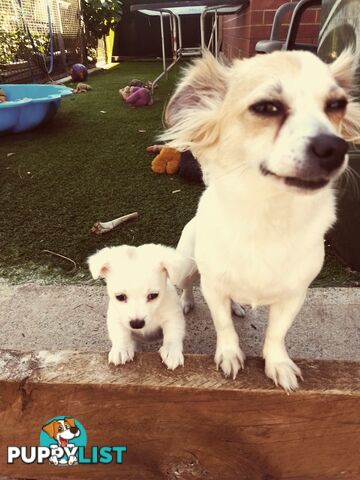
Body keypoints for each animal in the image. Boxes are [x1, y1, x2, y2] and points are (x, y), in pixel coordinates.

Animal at [88, 244, 194, 372]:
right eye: (120, 297)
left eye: (153, 295)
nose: (136, 324)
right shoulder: (116, 317)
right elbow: (119, 333)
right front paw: (121, 349)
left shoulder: (173, 316)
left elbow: (173, 334)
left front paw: (171, 352)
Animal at [162, 48, 360, 392]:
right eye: (267, 108)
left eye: (337, 105)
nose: (335, 146)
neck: (269, 217)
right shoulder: (213, 287)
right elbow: (223, 325)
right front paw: (229, 355)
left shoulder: (294, 296)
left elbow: (276, 334)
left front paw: (277, 364)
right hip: (186, 266)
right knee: (187, 286)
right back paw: (187, 302)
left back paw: (238, 305)